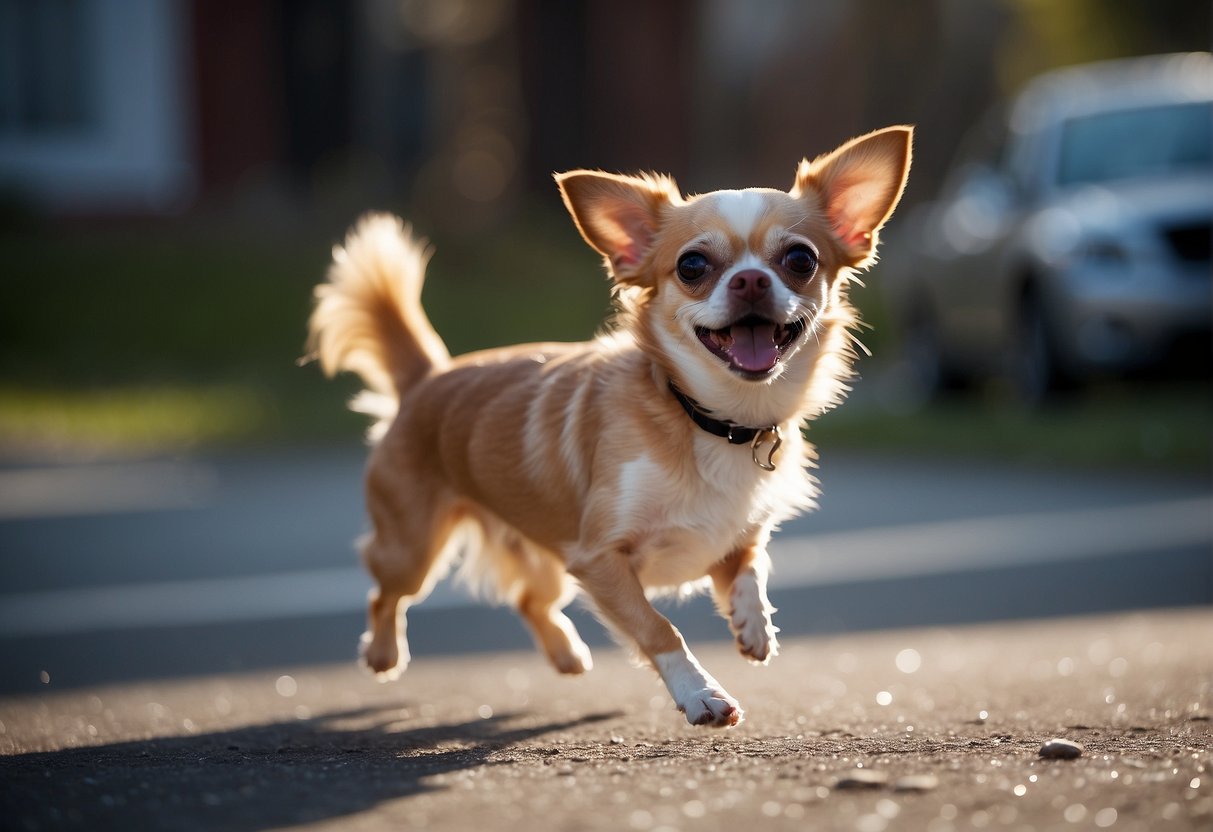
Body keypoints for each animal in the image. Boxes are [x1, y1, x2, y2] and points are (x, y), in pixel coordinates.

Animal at [308, 125, 912, 727]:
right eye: (693, 266)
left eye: (800, 259)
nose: (749, 280)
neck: (713, 420)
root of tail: (427, 376)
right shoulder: (599, 558)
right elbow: (658, 628)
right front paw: (701, 693)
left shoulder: (727, 538)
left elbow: (750, 568)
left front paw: (753, 625)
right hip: (413, 548)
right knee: (385, 593)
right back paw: (383, 652)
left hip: (542, 552)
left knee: (529, 599)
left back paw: (566, 653)